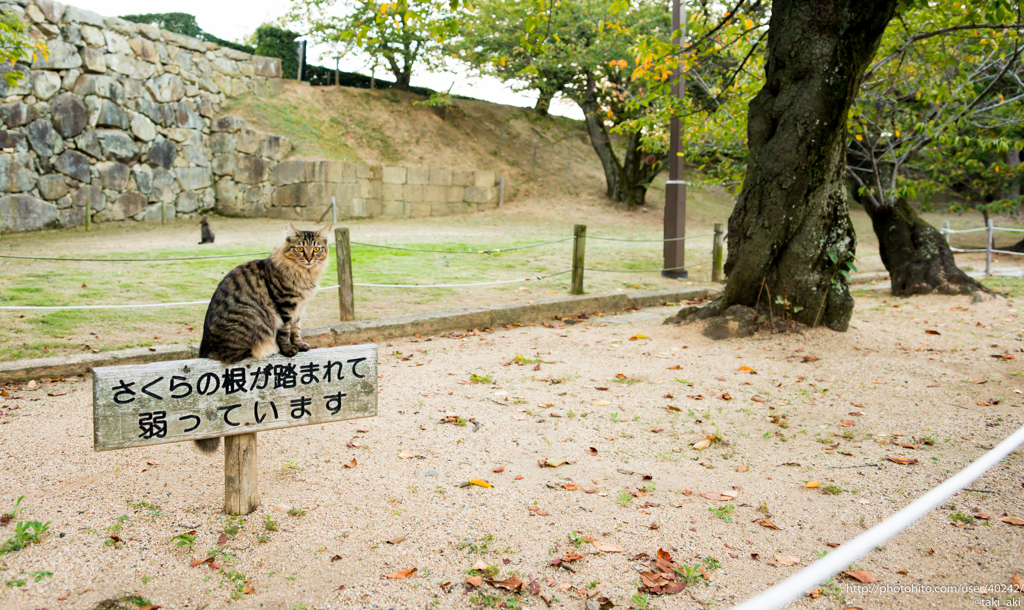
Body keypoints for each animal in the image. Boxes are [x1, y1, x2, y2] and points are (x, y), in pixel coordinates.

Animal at [193, 224, 329, 452]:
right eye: (300, 249)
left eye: (316, 249)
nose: (309, 258)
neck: (304, 274)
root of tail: (205, 347)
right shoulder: (285, 306)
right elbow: (285, 331)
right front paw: (288, 350)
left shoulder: (299, 309)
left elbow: (296, 330)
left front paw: (300, 345)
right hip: (252, 318)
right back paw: (268, 349)